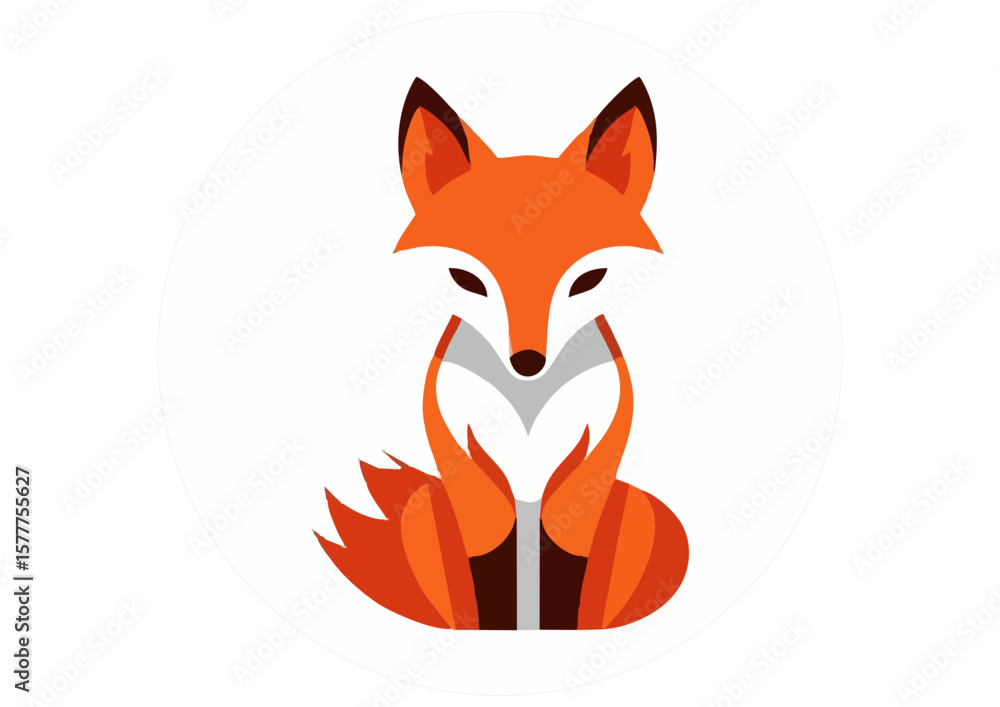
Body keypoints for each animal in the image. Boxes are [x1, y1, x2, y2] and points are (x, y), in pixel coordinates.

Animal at [315, 77, 688, 630]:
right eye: (466, 279)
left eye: (589, 279)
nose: (527, 362)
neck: (527, 404)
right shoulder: (458, 454)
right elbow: (488, 552)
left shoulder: (597, 456)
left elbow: (566, 550)